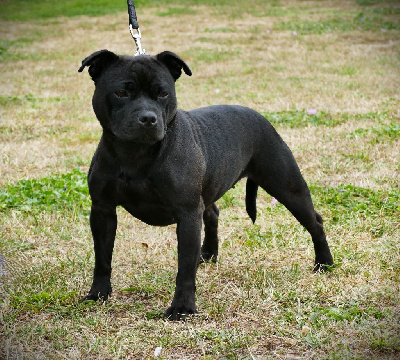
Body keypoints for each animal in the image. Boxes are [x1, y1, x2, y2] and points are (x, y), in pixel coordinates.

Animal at [77, 50, 332, 320]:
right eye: (121, 92)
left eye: (163, 93)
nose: (148, 118)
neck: (135, 154)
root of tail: (259, 116)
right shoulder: (102, 210)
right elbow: (102, 257)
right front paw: (98, 294)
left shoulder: (188, 213)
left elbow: (185, 267)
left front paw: (182, 308)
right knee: (212, 213)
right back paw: (208, 254)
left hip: (288, 187)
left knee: (315, 222)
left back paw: (324, 263)